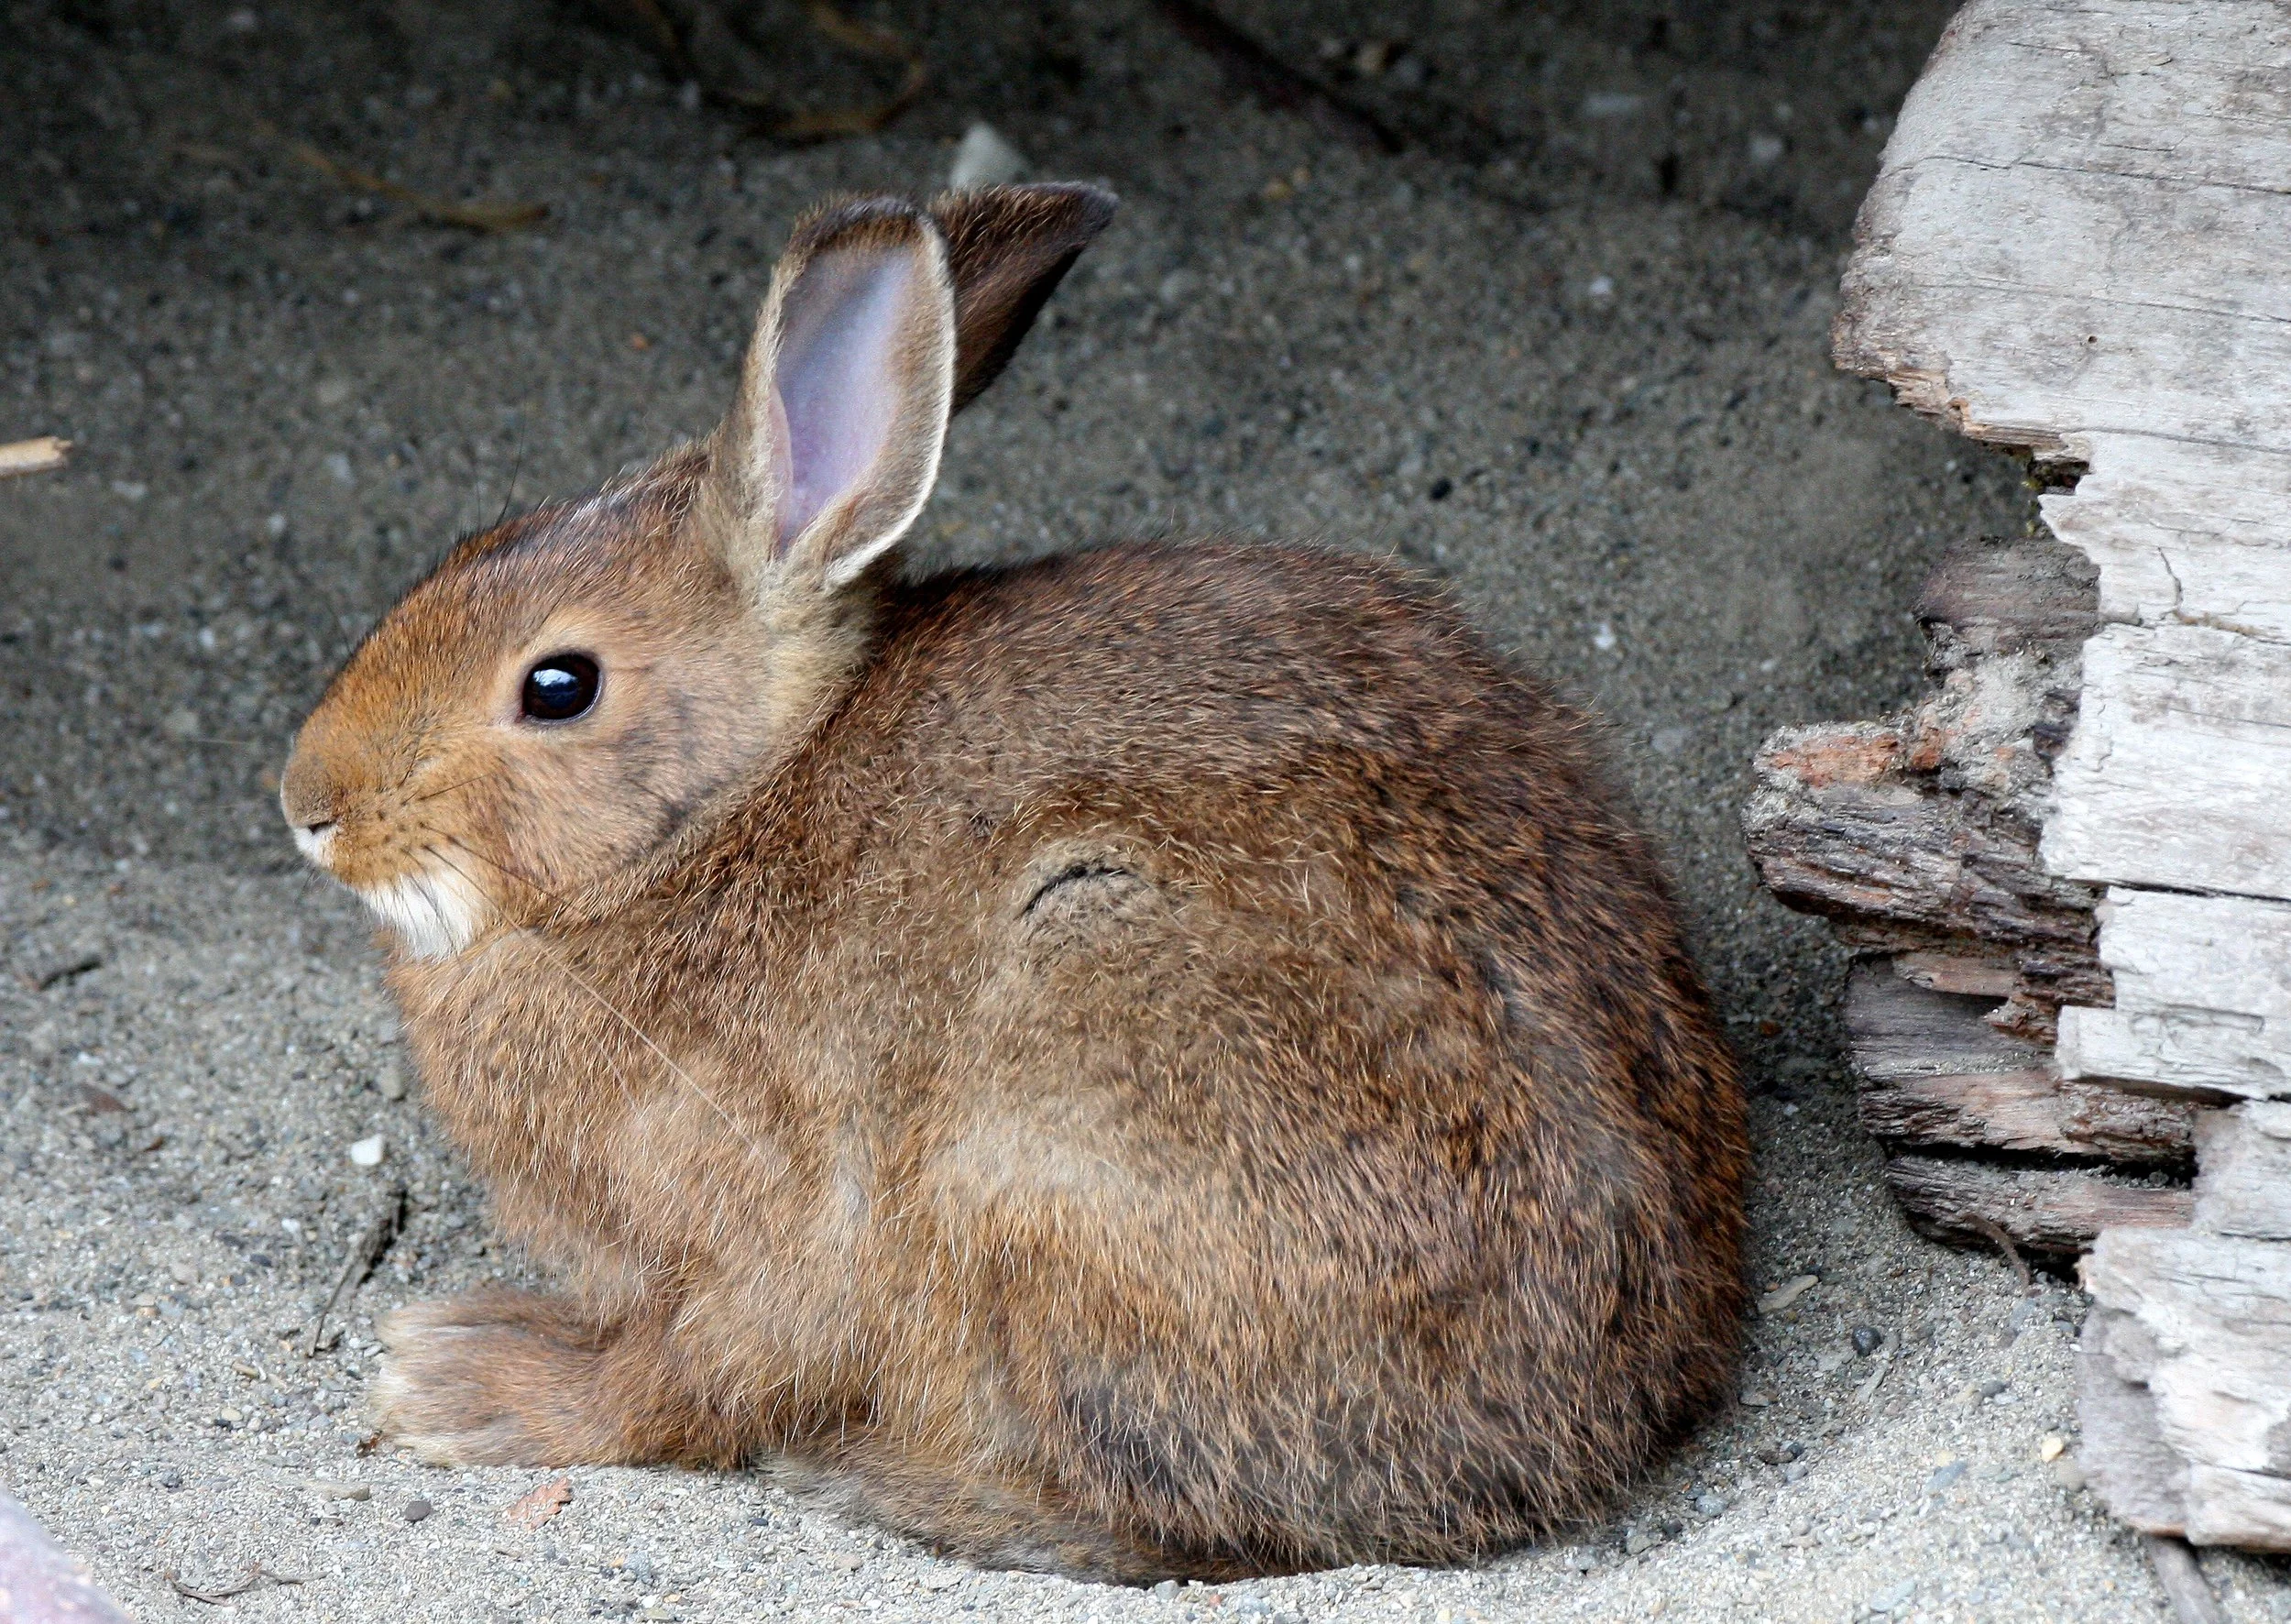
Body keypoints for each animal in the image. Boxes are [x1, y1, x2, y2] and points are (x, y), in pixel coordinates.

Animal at [279, 182, 1747, 1582]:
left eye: (558, 686)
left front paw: (461, 1382)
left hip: (1055, 1126)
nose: (308, 804)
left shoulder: (775, 1214)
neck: (716, 815)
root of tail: (1576, 1428)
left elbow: (695, 1372)